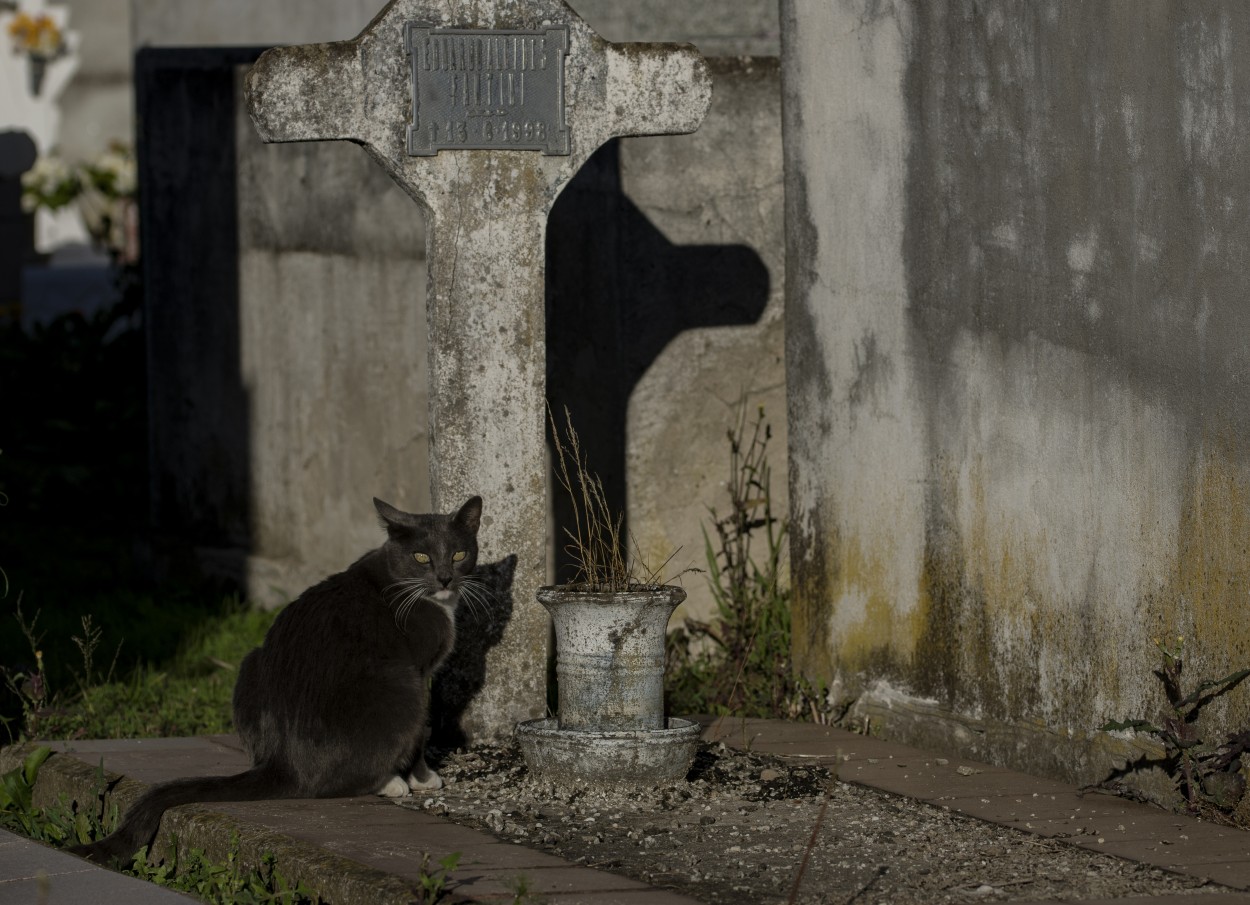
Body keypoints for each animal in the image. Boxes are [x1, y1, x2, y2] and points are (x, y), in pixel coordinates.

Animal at [70, 497, 485, 865]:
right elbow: (422, 736)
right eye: (421, 557)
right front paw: (424, 778)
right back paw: (391, 783)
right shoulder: (422, 670)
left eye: (459, 554)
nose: (445, 577)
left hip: (249, 662)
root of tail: (283, 763)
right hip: (401, 686)